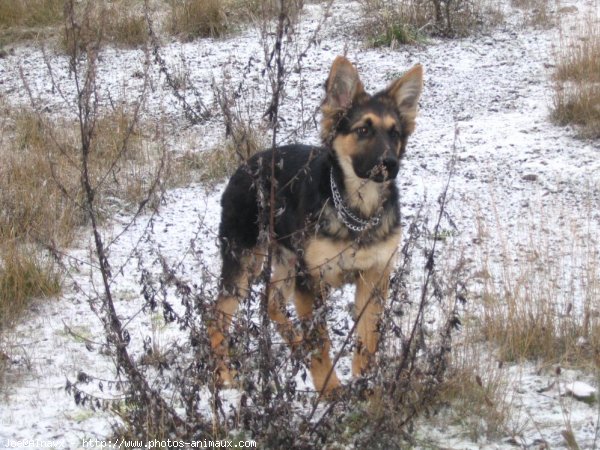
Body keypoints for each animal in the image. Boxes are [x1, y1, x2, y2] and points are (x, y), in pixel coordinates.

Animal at [209, 55, 424, 394]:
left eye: (395, 133)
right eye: (363, 129)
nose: (390, 164)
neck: (357, 212)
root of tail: (245, 166)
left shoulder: (373, 277)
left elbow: (368, 338)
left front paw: (365, 385)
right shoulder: (310, 281)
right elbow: (320, 342)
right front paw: (330, 390)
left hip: (286, 261)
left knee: (271, 302)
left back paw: (295, 348)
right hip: (245, 263)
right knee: (216, 315)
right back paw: (223, 376)